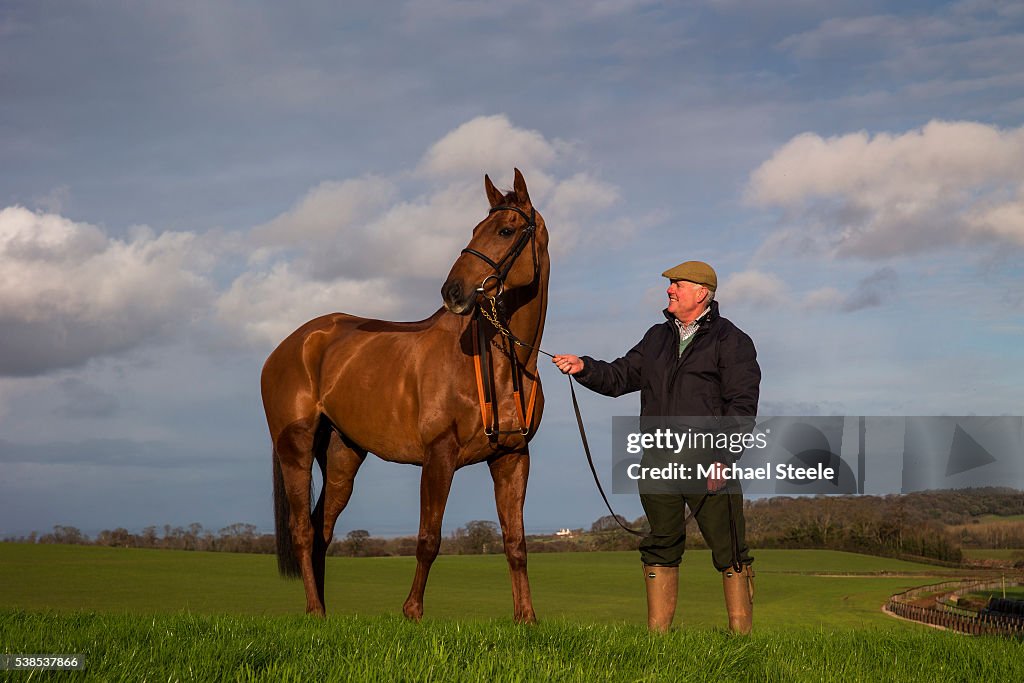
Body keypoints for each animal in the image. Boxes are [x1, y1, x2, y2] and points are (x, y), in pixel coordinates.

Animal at [260, 167, 548, 622]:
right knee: (303, 529)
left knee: (322, 527)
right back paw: (314, 611)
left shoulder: (512, 457)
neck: (503, 362)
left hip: (342, 455)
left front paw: (526, 618)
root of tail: (293, 343)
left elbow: (515, 542)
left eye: (505, 230)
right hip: (296, 447)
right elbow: (429, 538)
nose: (453, 291)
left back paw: (323, 610)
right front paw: (412, 612)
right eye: (475, 229)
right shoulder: (439, 455)